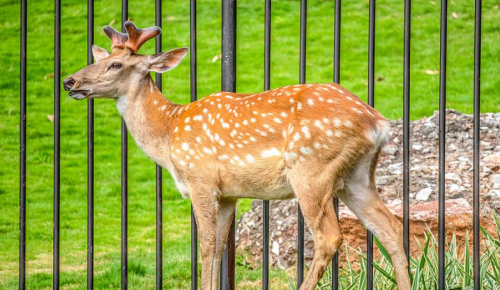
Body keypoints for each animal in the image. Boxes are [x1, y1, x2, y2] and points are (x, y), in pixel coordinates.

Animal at [63, 22, 410, 290]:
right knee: (391, 228)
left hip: (311, 169)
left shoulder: (200, 180)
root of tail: (377, 123)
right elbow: (220, 247)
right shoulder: (229, 193)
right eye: (102, 58)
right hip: (356, 176)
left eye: (116, 65)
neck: (168, 134)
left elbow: (205, 246)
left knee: (329, 236)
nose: (70, 81)